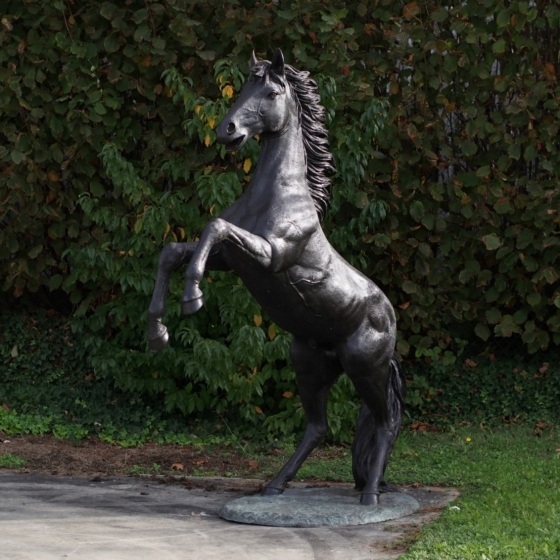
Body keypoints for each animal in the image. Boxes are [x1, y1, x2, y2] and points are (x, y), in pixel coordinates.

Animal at [147, 48, 404, 506]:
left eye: (270, 92)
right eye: (243, 87)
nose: (226, 130)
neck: (278, 194)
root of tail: (389, 317)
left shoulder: (269, 256)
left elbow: (213, 227)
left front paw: (192, 298)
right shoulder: (231, 259)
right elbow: (175, 251)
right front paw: (157, 331)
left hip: (366, 368)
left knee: (386, 420)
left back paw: (370, 495)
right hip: (309, 364)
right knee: (318, 427)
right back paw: (275, 485)